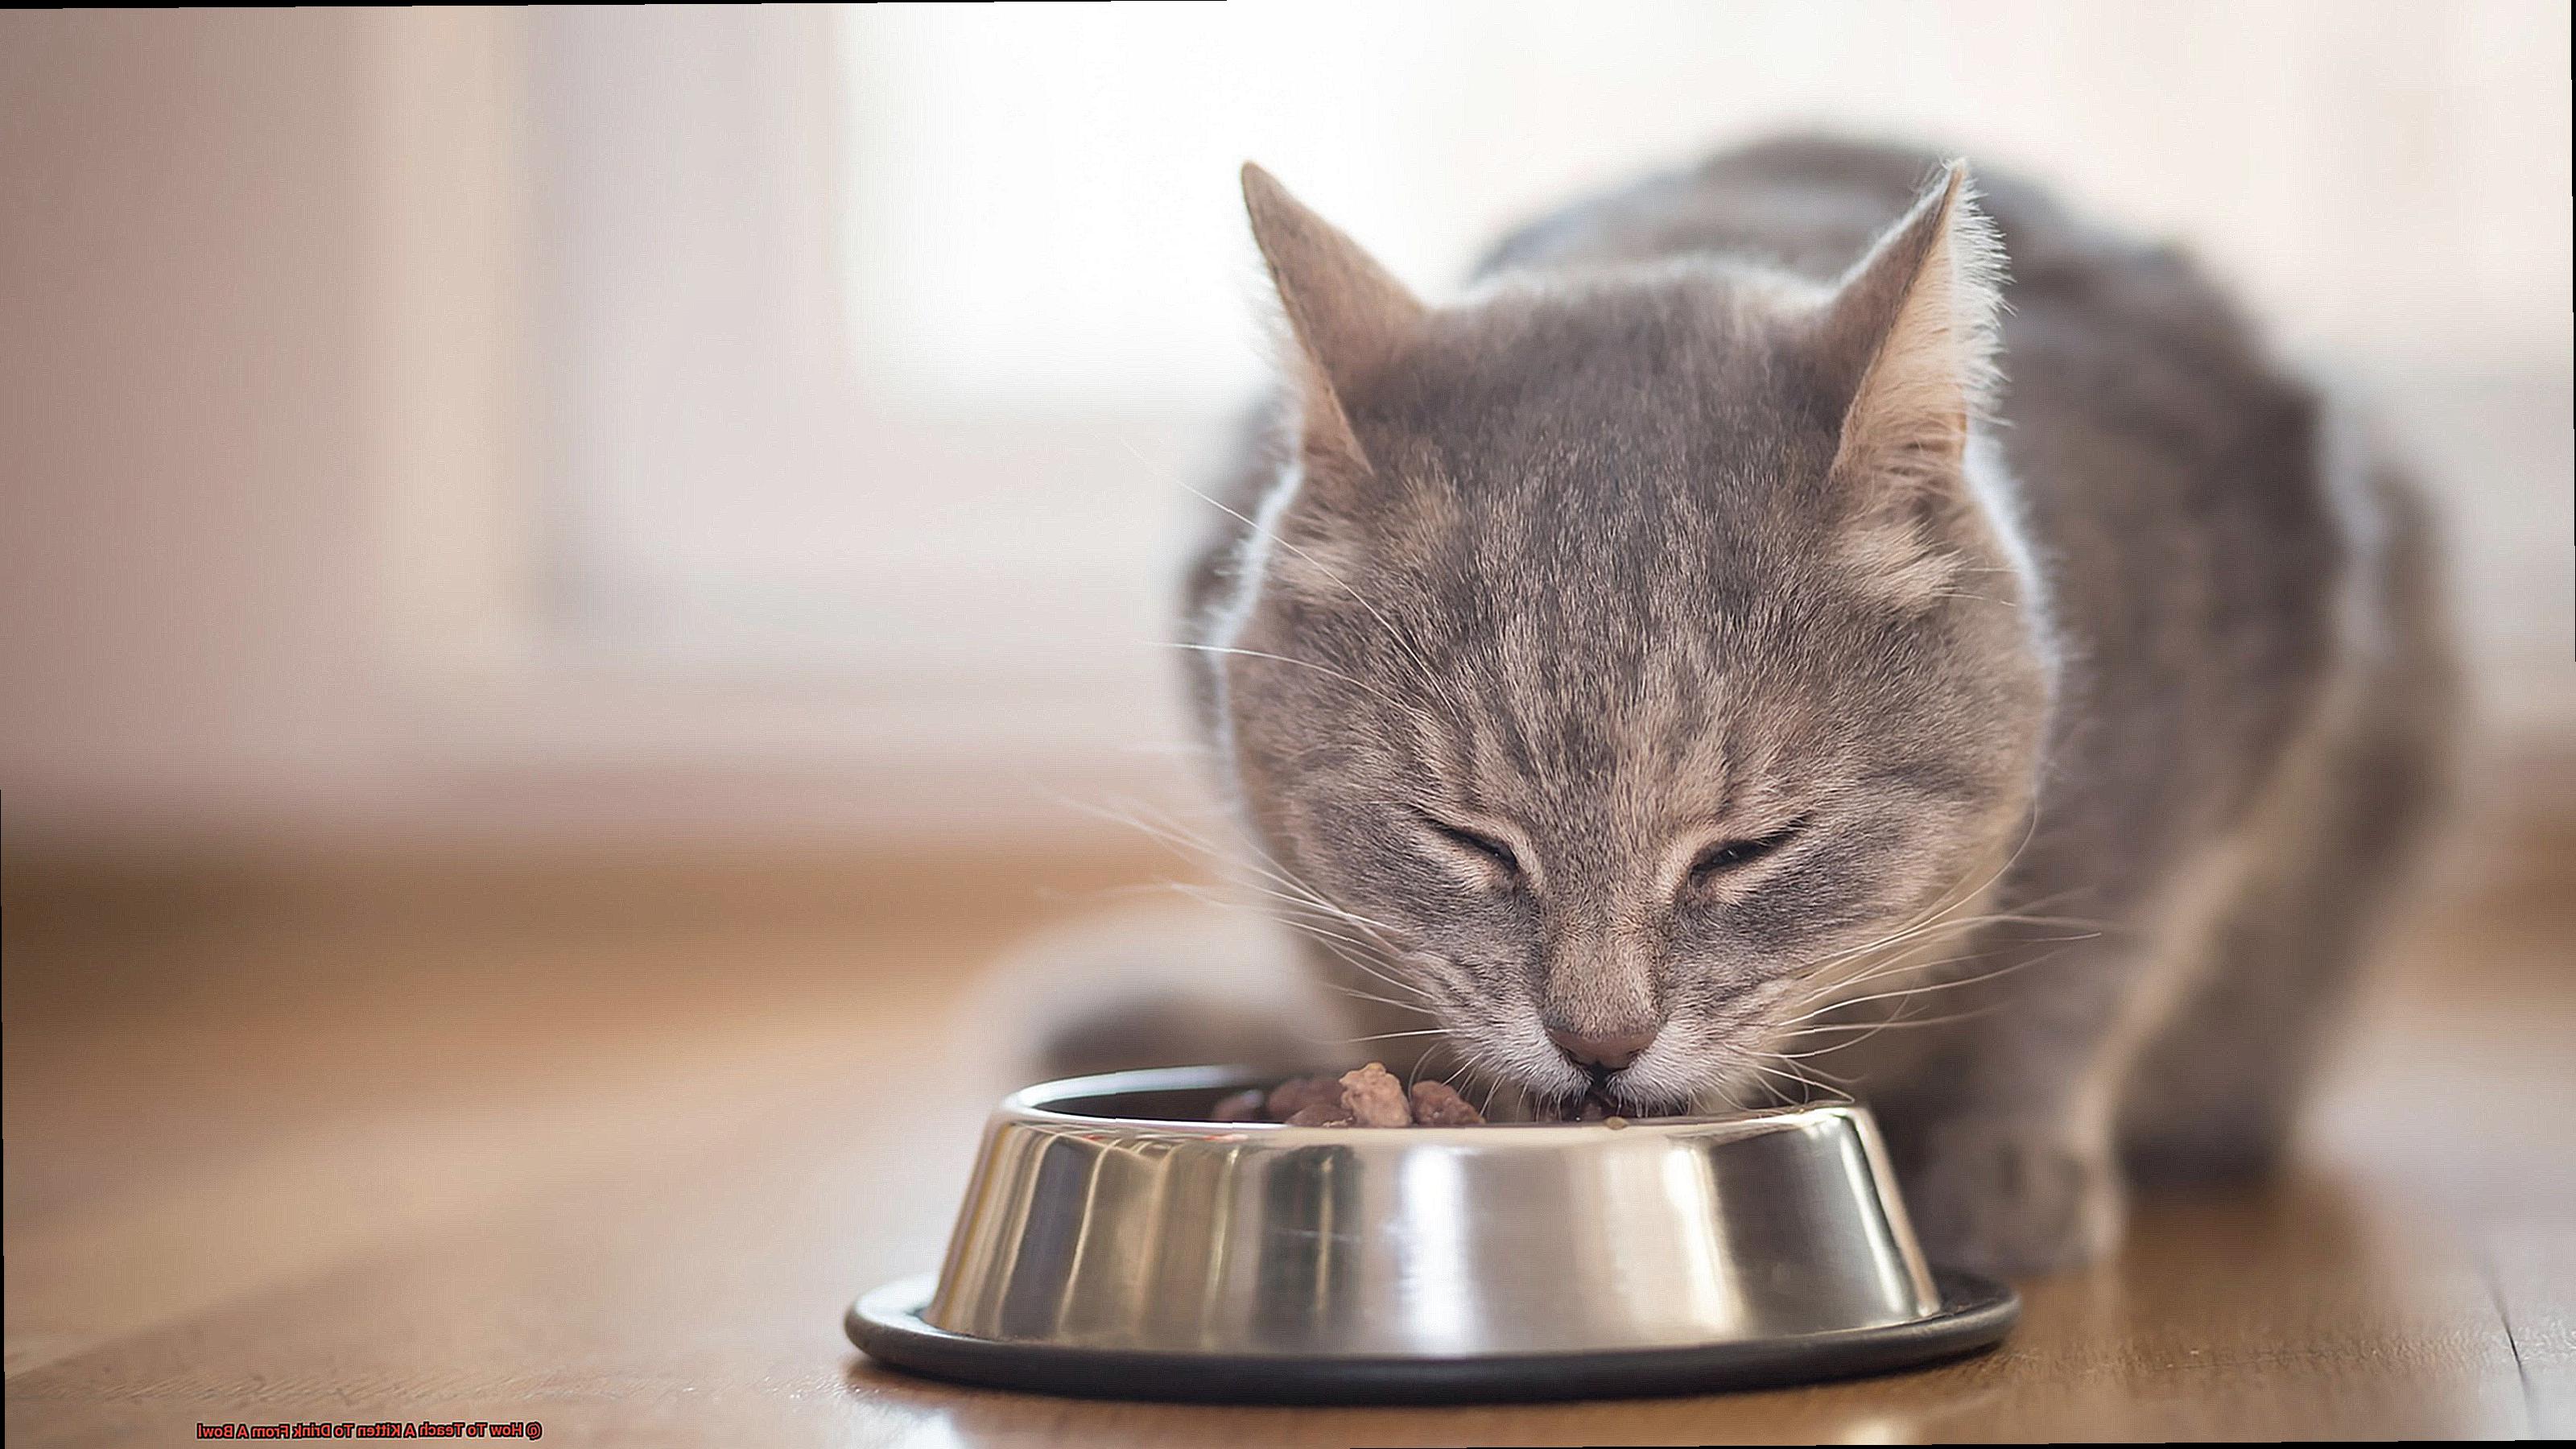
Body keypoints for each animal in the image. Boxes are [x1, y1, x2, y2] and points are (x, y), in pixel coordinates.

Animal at [1071, 132, 2452, 1263]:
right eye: (1468, 843)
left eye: (1749, 850)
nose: (1599, 1045)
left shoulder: (2209, 732)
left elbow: (2089, 980)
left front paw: (2013, 1162)